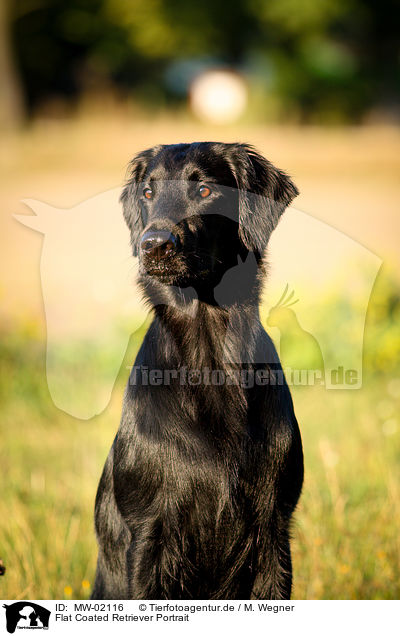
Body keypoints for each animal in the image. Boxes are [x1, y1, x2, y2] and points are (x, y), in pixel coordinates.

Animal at [91, 142, 304, 600]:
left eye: (204, 190)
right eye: (148, 192)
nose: (154, 245)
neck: (210, 359)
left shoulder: (273, 528)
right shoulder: (148, 535)